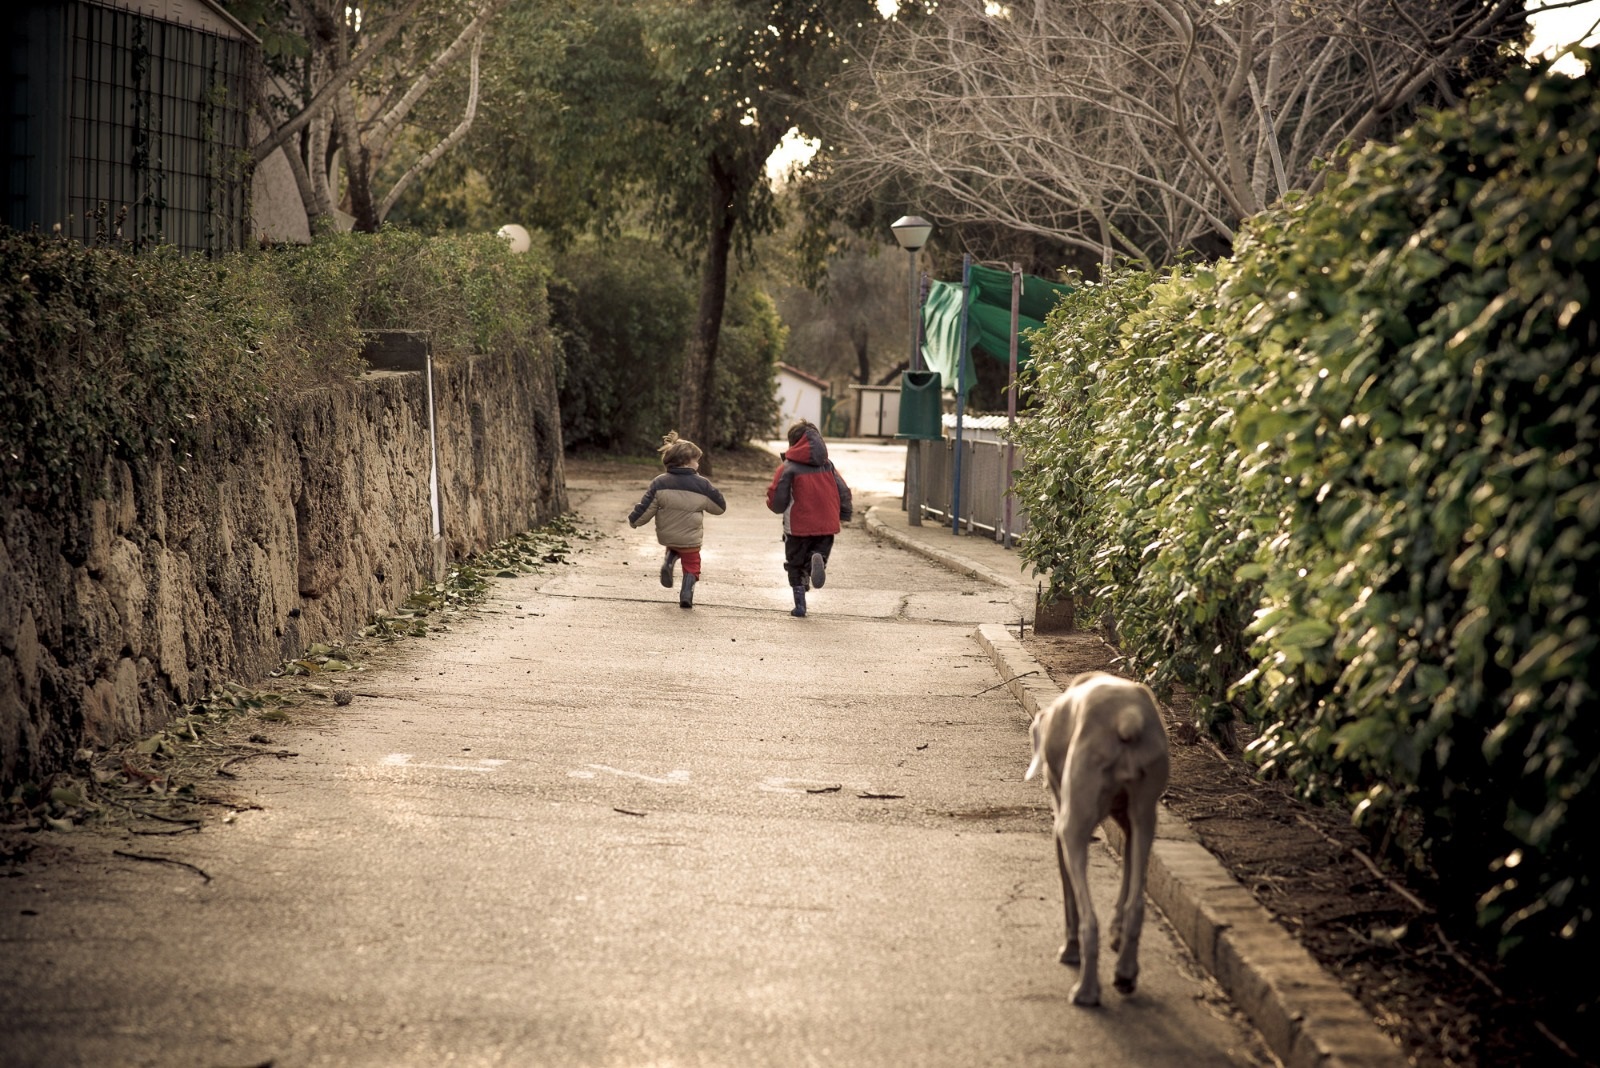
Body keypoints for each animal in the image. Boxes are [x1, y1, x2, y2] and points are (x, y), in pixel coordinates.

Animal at [1030, 671, 1171, 1004]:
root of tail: (1127, 717)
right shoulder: (1130, 825)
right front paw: (1116, 933)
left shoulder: (1061, 827)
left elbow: (1069, 897)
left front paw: (1070, 950)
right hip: (1146, 809)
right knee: (1136, 906)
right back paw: (1126, 972)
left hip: (1075, 819)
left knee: (1089, 920)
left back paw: (1086, 990)